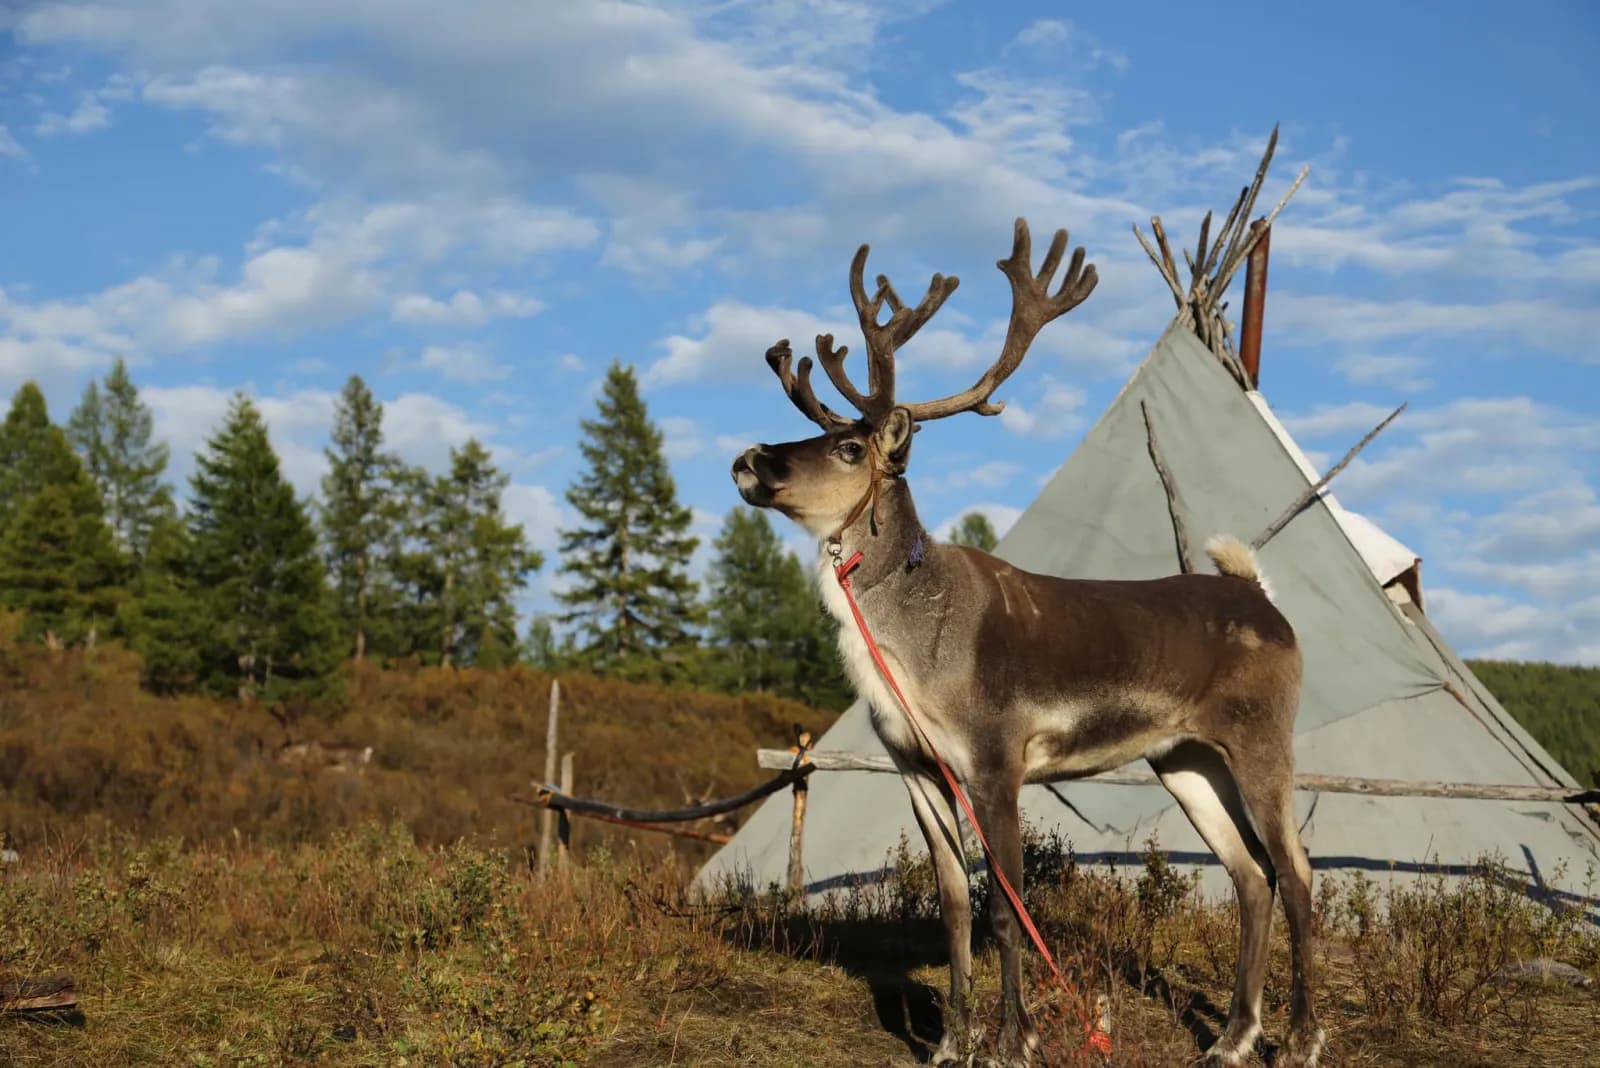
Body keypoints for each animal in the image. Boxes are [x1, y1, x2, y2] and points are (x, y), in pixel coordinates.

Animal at [729, 219, 1323, 1067]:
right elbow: (952, 907)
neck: (909, 651)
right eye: (816, 427)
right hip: (1184, 757)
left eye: (847, 448)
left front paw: (1016, 1040)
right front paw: (951, 1042)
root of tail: (1260, 595)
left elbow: (1006, 908)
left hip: (1263, 738)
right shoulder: (917, 766)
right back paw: (1233, 1039)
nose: (748, 458)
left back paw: (1299, 1040)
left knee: (1297, 871)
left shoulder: (995, 758)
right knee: (1252, 875)